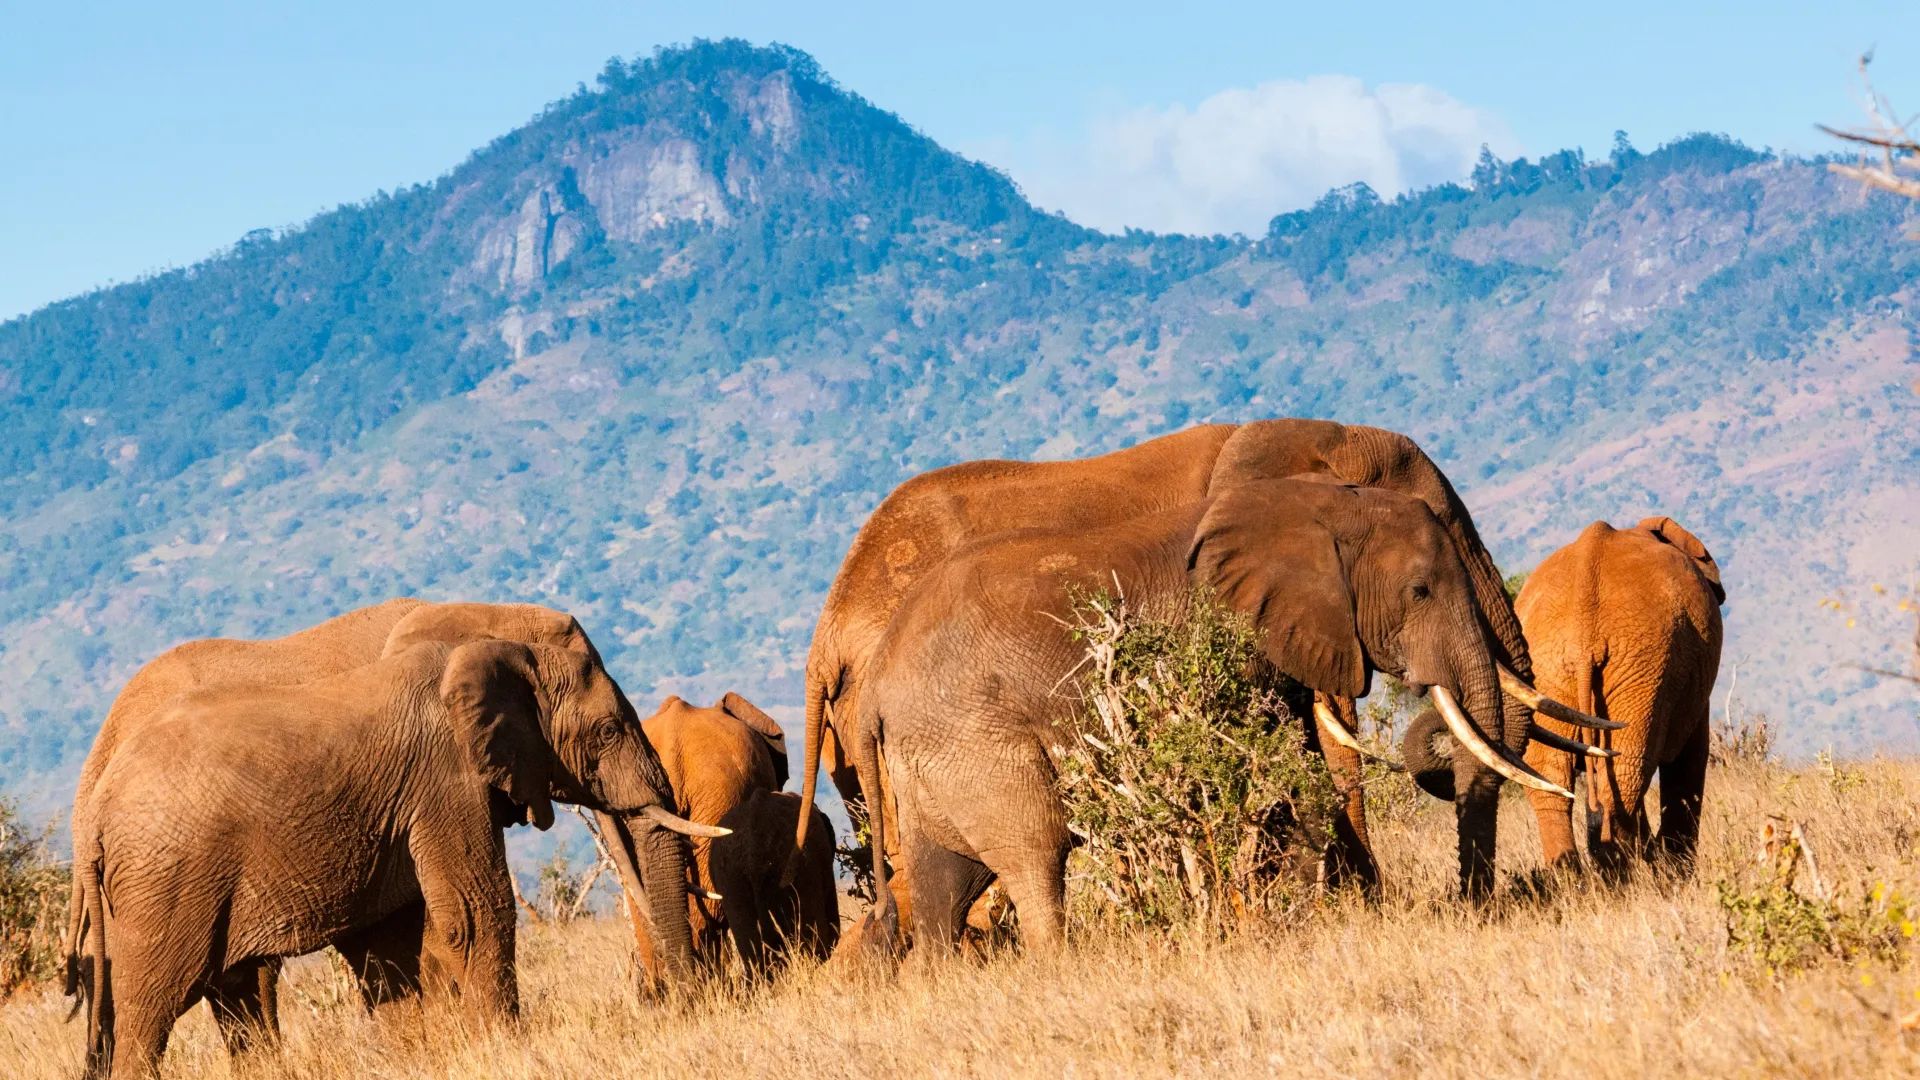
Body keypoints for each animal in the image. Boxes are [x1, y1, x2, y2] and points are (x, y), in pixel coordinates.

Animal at [73, 637, 721, 1079]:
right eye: (608, 730)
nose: (683, 1004)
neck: (505, 655)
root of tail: (93, 820)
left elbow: (389, 946)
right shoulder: (444, 780)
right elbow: (474, 913)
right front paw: (507, 1048)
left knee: (235, 993)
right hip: (166, 882)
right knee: (151, 1006)